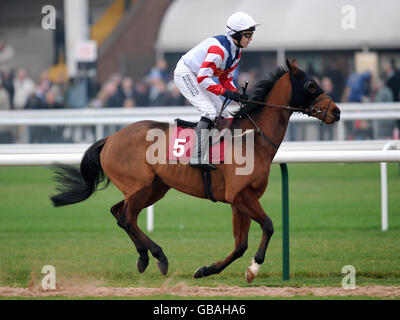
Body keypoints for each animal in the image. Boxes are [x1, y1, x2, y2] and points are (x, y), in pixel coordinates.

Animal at [50, 59, 340, 282]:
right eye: (311, 85)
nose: (336, 111)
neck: (252, 139)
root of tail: (111, 138)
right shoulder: (240, 195)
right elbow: (267, 226)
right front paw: (254, 267)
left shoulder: (240, 200)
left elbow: (240, 245)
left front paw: (206, 270)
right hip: (140, 186)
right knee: (126, 218)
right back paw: (159, 256)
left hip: (154, 188)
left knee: (119, 213)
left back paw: (144, 257)